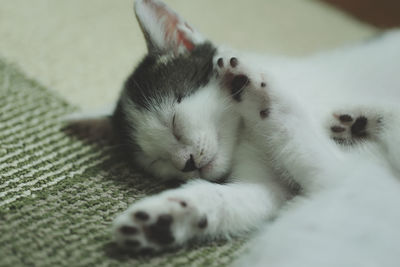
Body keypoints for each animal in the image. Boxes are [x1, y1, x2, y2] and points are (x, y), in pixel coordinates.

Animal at [69, 0, 400, 266]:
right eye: (156, 161)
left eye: (174, 121)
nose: (186, 162)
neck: (243, 134)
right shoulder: (289, 185)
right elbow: (235, 198)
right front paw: (168, 218)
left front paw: (254, 87)